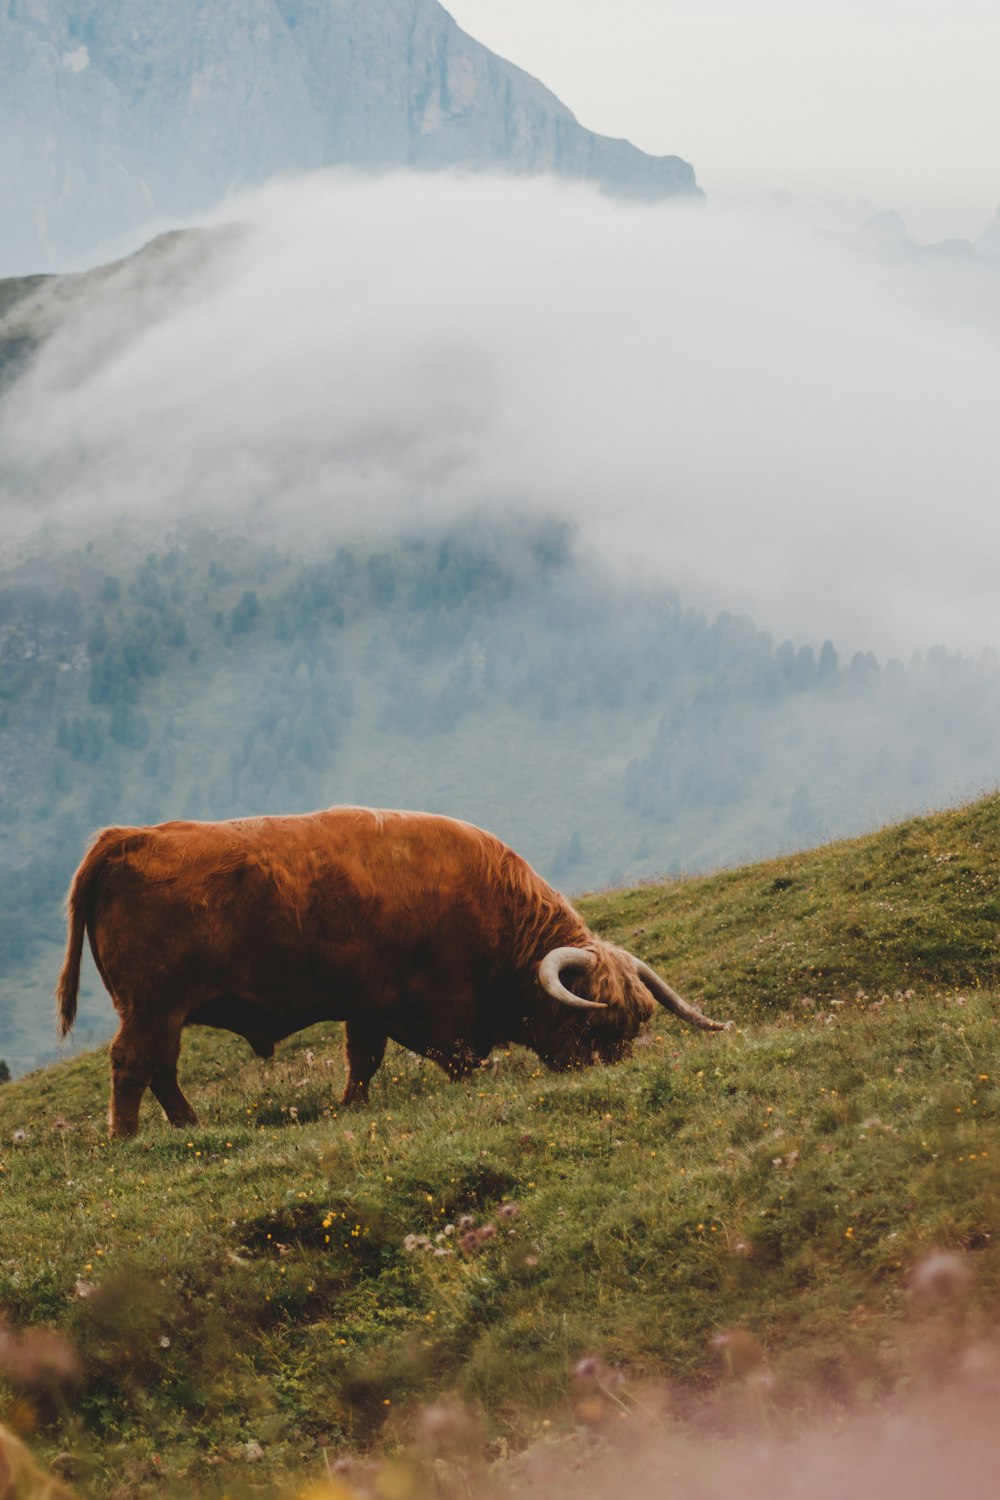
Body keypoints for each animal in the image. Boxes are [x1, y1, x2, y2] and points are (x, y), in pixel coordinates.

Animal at [54, 810, 728, 1134]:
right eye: (595, 1026)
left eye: (633, 1028)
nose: (607, 1074)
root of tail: (128, 837)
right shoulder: (439, 1004)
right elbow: (458, 1057)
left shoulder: (367, 1001)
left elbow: (364, 1060)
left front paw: (350, 1106)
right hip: (151, 1003)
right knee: (132, 1064)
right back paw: (127, 1138)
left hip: (163, 1011)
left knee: (161, 1068)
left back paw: (189, 1128)